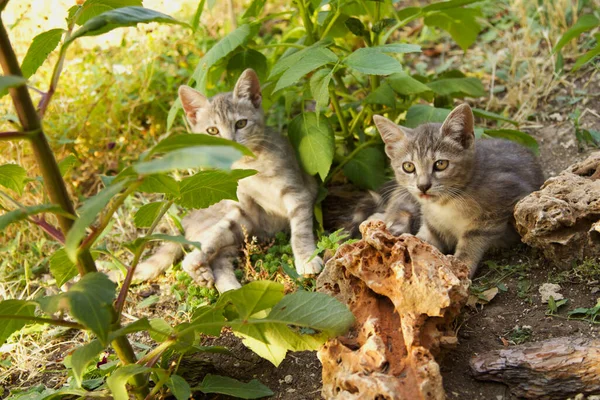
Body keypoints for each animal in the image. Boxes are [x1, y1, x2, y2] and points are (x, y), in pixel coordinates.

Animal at [135, 69, 324, 292]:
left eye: (241, 123)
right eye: (212, 131)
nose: (230, 143)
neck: (251, 166)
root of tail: (187, 220)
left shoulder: (298, 192)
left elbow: (300, 229)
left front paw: (306, 258)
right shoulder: (245, 210)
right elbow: (217, 233)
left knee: (219, 260)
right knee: (214, 251)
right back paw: (209, 275)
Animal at [370, 104, 544, 276]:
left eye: (441, 164)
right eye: (408, 166)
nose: (423, 186)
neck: (447, 204)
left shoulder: (504, 203)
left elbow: (473, 239)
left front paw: (461, 265)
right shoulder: (432, 222)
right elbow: (425, 239)